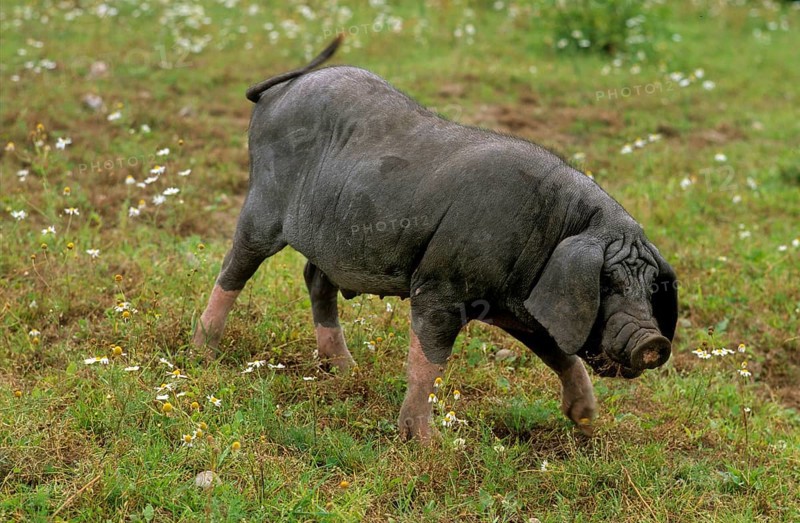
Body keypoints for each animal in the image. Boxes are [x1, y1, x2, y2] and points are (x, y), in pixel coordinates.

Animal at [193, 35, 678, 441]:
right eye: (606, 283)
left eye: (651, 287)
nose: (652, 343)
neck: (553, 230)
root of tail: (281, 88)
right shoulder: (440, 285)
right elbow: (428, 360)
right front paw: (426, 443)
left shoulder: (517, 305)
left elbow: (557, 352)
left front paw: (585, 419)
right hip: (263, 206)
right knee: (235, 267)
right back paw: (205, 353)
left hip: (334, 235)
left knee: (315, 279)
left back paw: (347, 371)